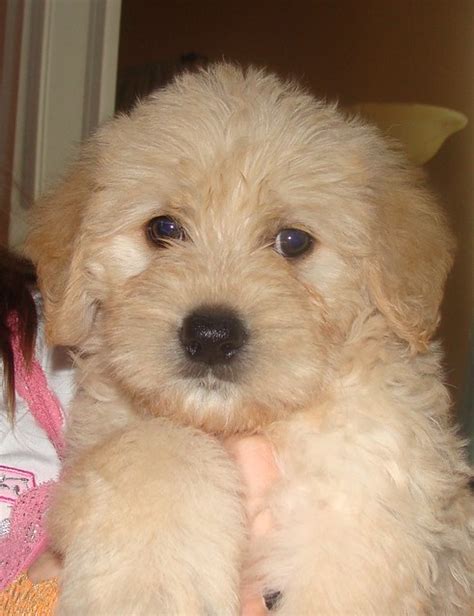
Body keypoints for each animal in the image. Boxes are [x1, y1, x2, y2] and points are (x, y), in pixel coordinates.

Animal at [27, 63, 472, 616]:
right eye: (163, 228)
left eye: (293, 241)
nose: (211, 336)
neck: (252, 424)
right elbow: (155, 444)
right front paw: (150, 586)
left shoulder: (367, 490)